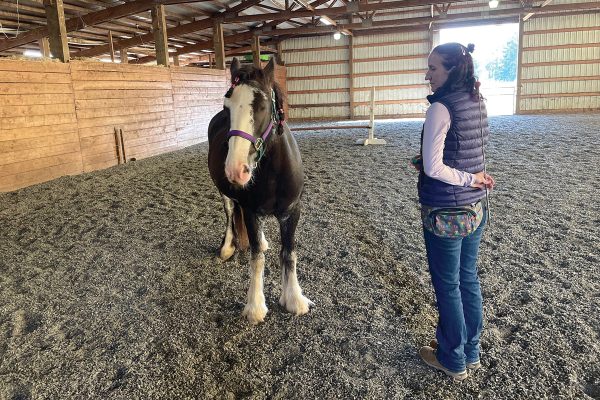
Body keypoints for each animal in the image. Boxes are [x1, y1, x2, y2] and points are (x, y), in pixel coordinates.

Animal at [207, 57, 314, 324]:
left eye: (262, 105)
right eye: (226, 107)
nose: (235, 170)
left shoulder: (292, 212)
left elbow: (289, 253)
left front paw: (294, 299)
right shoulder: (251, 212)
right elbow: (257, 258)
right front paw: (255, 306)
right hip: (226, 195)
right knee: (229, 213)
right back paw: (227, 247)